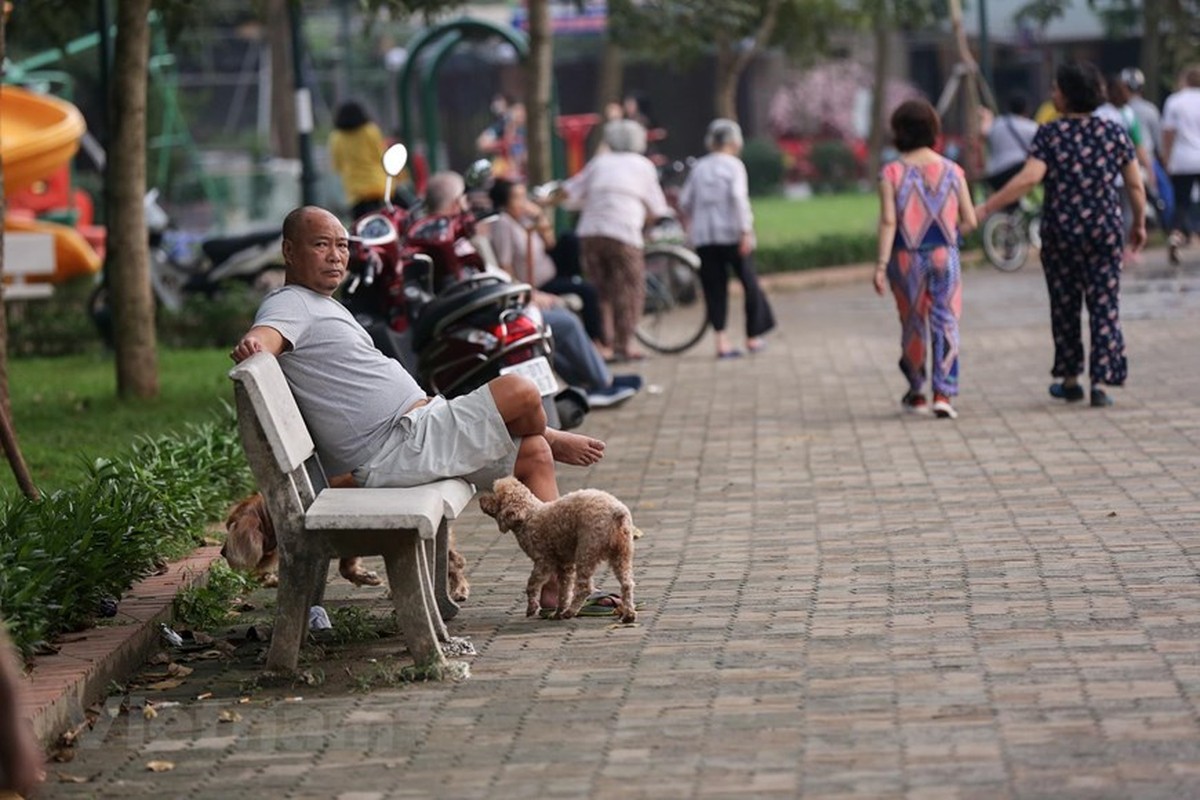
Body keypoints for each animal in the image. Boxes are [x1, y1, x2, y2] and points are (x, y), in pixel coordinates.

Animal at [477, 479, 638, 623]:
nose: (480, 499)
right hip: (622, 553)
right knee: (627, 584)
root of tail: (617, 512)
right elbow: (564, 591)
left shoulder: (543, 561)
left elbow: (532, 585)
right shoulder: (564, 565)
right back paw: (629, 615)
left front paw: (532, 608)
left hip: (587, 550)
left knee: (584, 588)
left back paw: (571, 612)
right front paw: (557, 612)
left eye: (495, 496)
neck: (529, 516)